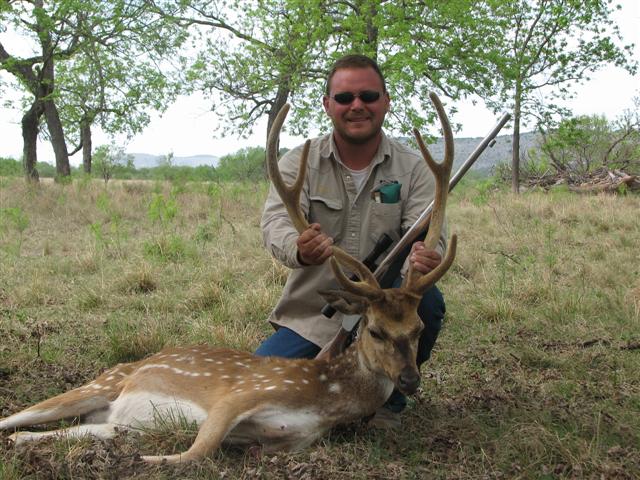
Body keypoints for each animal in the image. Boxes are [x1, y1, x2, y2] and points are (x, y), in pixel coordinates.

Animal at [0, 94, 457, 464]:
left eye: (417, 328)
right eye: (375, 330)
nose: (410, 380)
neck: (324, 401)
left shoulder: (291, 440)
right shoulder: (238, 395)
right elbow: (197, 451)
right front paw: (150, 459)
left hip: (107, 415)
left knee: (77, 429)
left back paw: (25, 443)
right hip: (100, 383)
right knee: (15, 416)